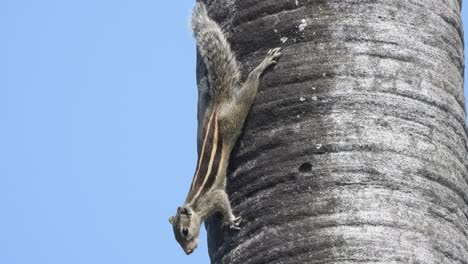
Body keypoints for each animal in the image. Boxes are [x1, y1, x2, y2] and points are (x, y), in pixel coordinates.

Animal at [168, 1, 282, 255]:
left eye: (184, 232)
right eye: (176, 239)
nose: (188, 252)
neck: (195, 206)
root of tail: (219, 106)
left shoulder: (214, 197)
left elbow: (223, 201)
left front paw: (230, 220)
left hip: (235, 114)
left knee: (249, 86)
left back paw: (261, 66)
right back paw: (204, 86)